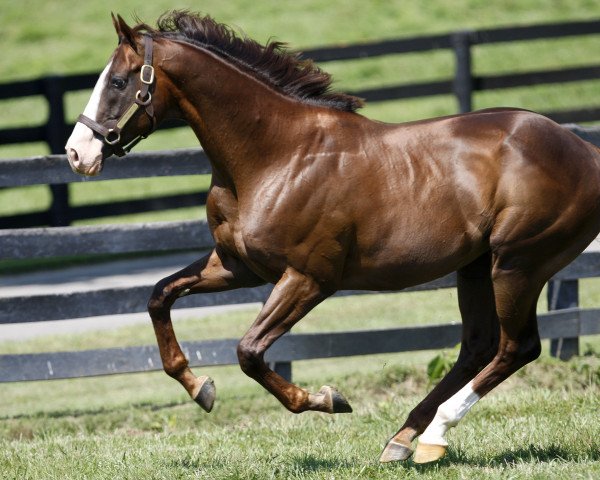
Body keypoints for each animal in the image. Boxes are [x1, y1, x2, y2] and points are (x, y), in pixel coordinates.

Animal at [64, 12, 600, 462]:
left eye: (117, 82)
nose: (76, 153)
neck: (275, 155)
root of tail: (584, 150)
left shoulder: (309, 278)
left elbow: (250, 351)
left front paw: (325, 398)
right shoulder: (237, 267)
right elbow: (160, 296)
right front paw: (201, 388)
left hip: (518, 264)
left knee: (516, 347)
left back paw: (432, 437)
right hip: (475, 266)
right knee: (478, 346)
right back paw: (402, 440)